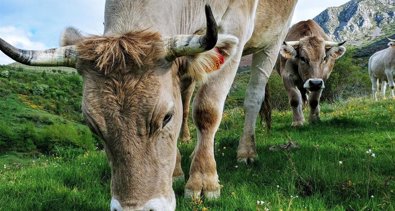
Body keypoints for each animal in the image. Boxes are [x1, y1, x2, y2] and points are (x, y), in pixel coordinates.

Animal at [0, 0, 296, 211]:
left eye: (166, 117)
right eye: (93, 126)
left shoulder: (236, 23)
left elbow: (207, 110)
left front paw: (203, 182)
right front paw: (177, 171)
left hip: (273, 40)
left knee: (254, 96)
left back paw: (246, 152)